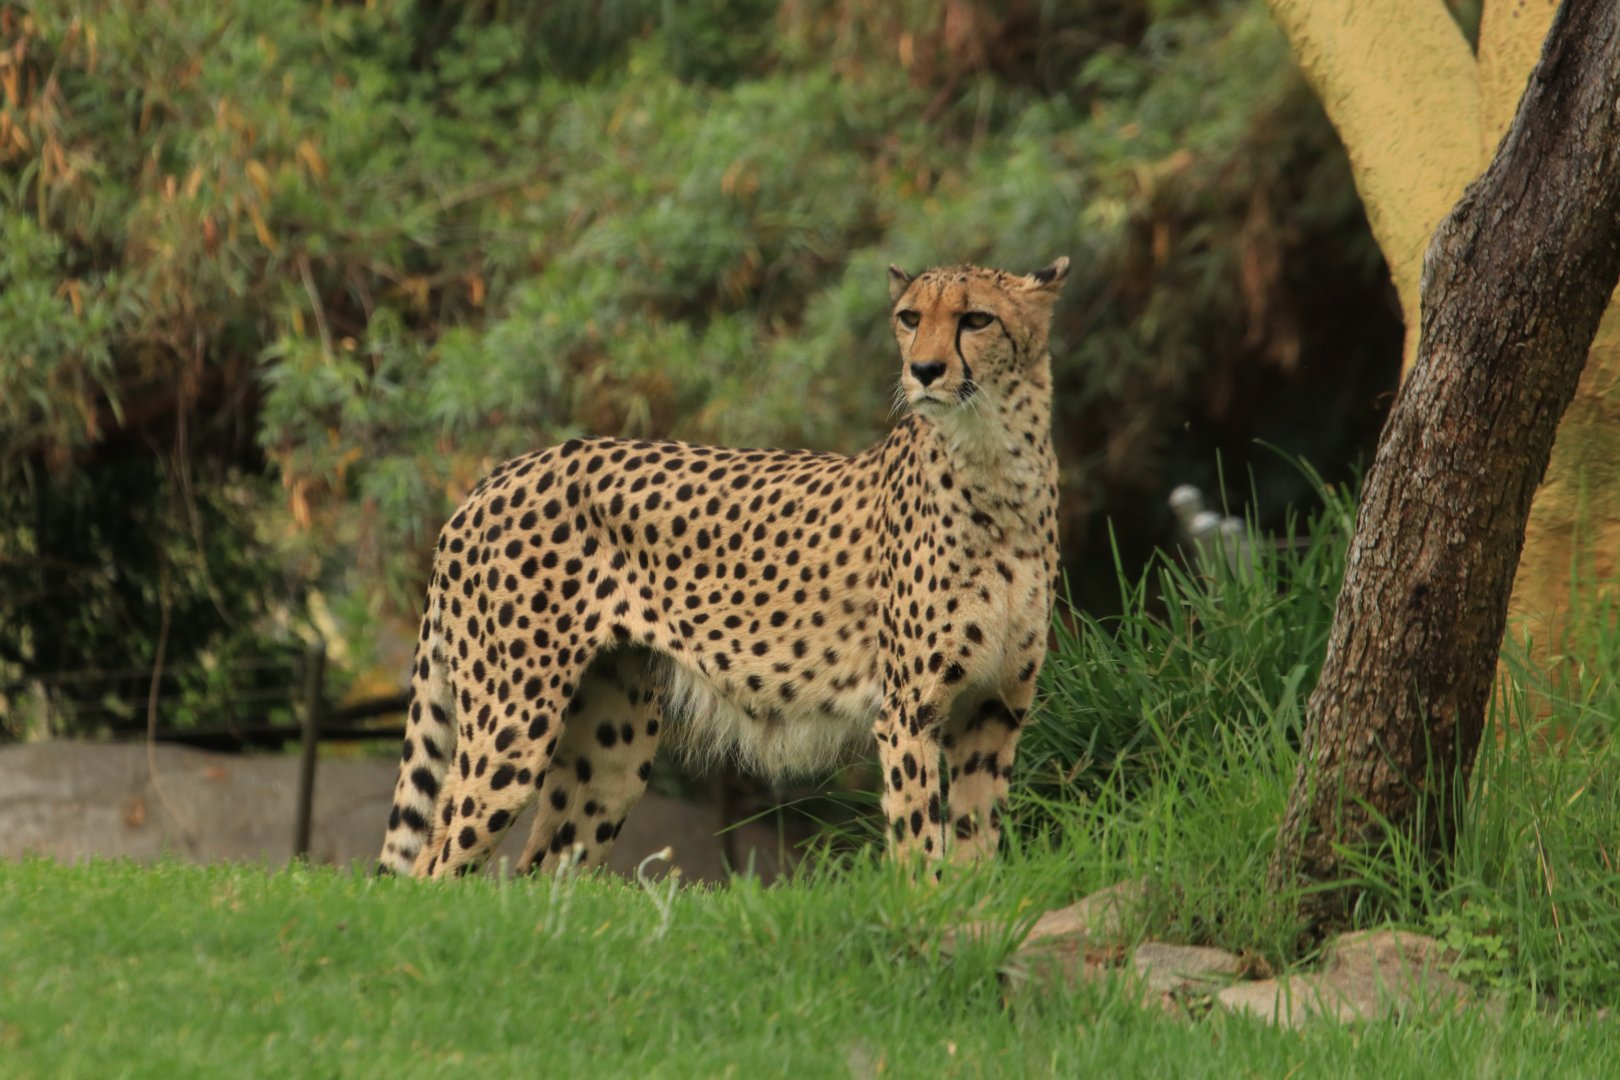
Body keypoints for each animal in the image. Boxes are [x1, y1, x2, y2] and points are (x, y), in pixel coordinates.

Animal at [377, 256, 1069, 879]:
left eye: (976, 318)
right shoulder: (910, 712)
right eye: (910, 317)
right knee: (433, 868)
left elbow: (978, 837)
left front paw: (971, 912)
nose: (923, 370)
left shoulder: (994, 705)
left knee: (538, 872)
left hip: (610, 747)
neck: (996, 462)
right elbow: (920, 837)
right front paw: (923, 910)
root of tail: (492, 478)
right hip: (513, 723)